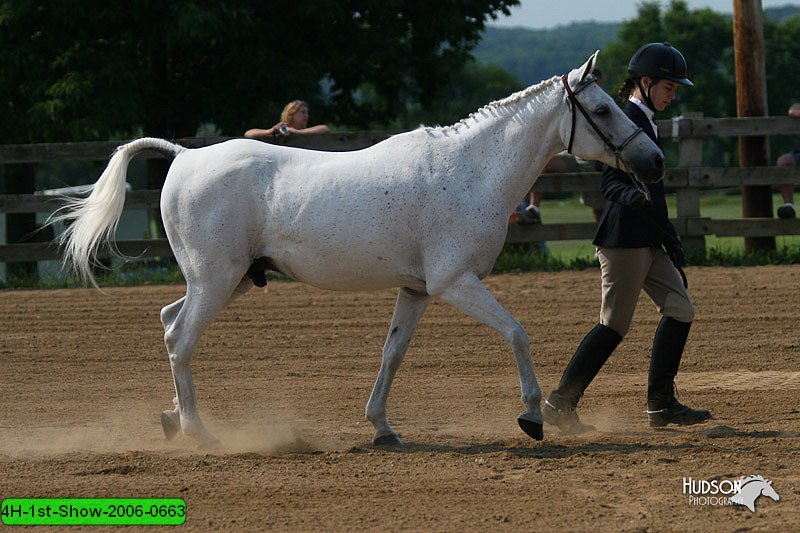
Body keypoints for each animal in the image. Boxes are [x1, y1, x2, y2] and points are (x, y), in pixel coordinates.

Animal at [54, 53, 664, 444]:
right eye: (604, 111)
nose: (654, 162)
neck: (470, 170)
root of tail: (184, 156)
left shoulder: (417, 290)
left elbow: (391, 355)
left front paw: (382, 428)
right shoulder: (455, 283)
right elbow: (516, 333)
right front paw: (533, 417)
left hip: (225, 280)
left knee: (167, 322)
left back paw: (174, 418)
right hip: (216, 280)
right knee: (181, 338)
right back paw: (198, 432)